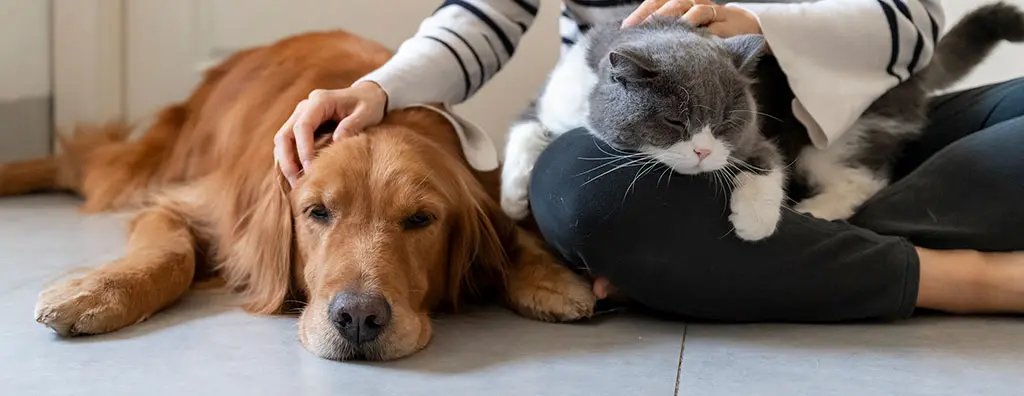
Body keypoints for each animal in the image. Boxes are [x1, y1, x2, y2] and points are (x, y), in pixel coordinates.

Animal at [0, 30, 598, 360]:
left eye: (420, 220)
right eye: (317, 212)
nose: (358, 318)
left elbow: (513, 232)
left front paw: (550, 279)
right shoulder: (188, 205)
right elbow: (170, 255)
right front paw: (94, 292)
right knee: (80, 162)